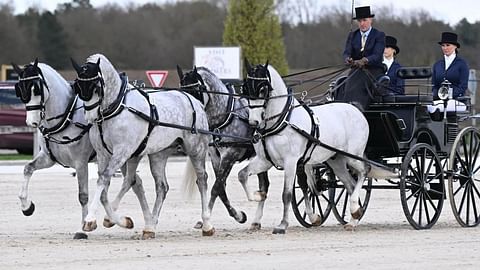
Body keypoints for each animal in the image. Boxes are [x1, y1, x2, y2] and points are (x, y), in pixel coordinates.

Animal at [12, 59, 94, 238]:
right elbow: (28, 168)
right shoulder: (48, 158)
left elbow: (83, 196)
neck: (67, 116)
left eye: (37, 89)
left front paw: (82, 229)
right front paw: (27, 206)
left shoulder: (81, 163)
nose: (31, 122)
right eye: (20, 90)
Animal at [70, 53, 213, 238]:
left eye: (96, 87)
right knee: (161, 187)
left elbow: (104, 179)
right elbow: (105, 188)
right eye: (78, 87)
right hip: (158, 154)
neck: (116, 108)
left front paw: (90, 220)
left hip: (196, 150)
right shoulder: (103, 154)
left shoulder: (122, 152)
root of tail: (195, 101)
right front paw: (119, 220)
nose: (90, 116)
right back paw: (150, 227)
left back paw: (207, 224)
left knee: (202, 180)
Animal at [240, 60, 390, 233]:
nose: (254, 122)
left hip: (352, 156)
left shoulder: (291, 162)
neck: (282, 121)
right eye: (245, 88)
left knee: (364, 171)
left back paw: (354, 209)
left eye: (263, 89)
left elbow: (287, 194)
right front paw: (258, 195)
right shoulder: (264, 160)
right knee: (350, 185)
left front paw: (282, 225)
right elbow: (242, 175)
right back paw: (354, 218)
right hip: (336, 160)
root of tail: (355, 108)